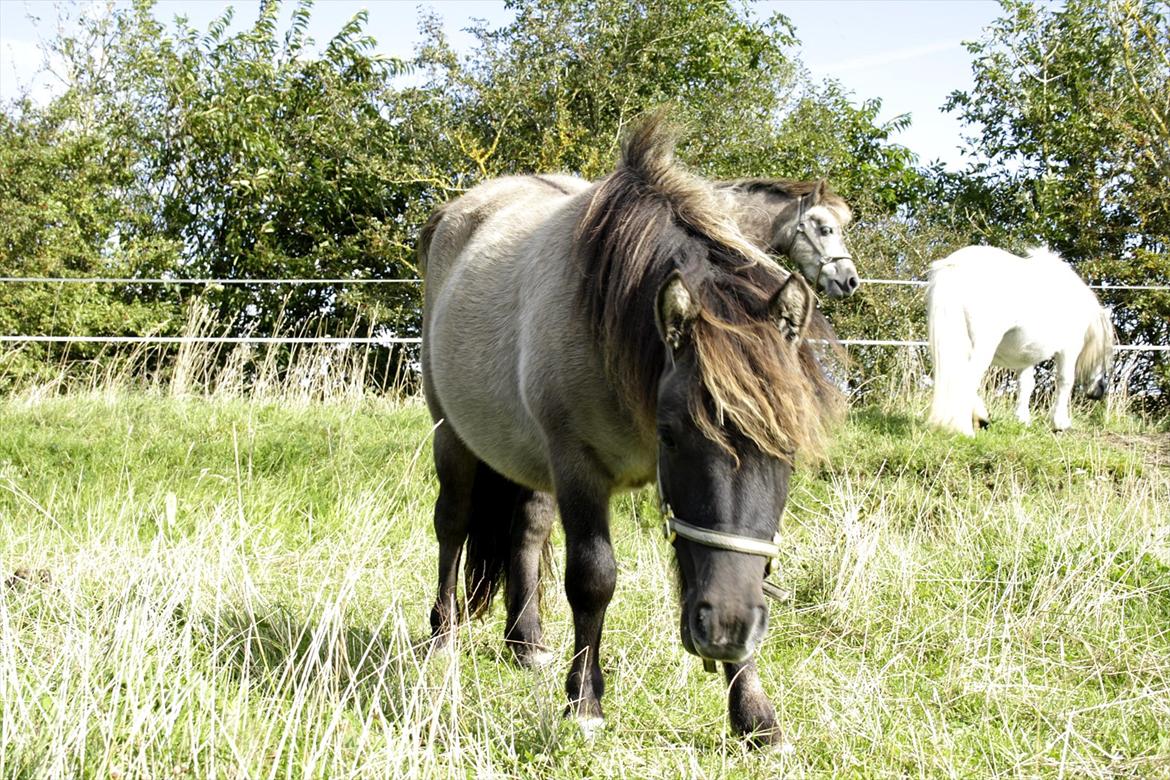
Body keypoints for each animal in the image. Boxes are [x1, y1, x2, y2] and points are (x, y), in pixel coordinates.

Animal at [926, 246, 1109, 437]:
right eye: (1105, 352)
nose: (1100, 390)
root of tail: (955, 265)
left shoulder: (1025, 356)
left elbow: (1026, 385)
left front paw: (1022, 419)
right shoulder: (1068, 349)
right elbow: (1065, 381)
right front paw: (1060, 423)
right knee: (966, 378)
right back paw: (965, 429)